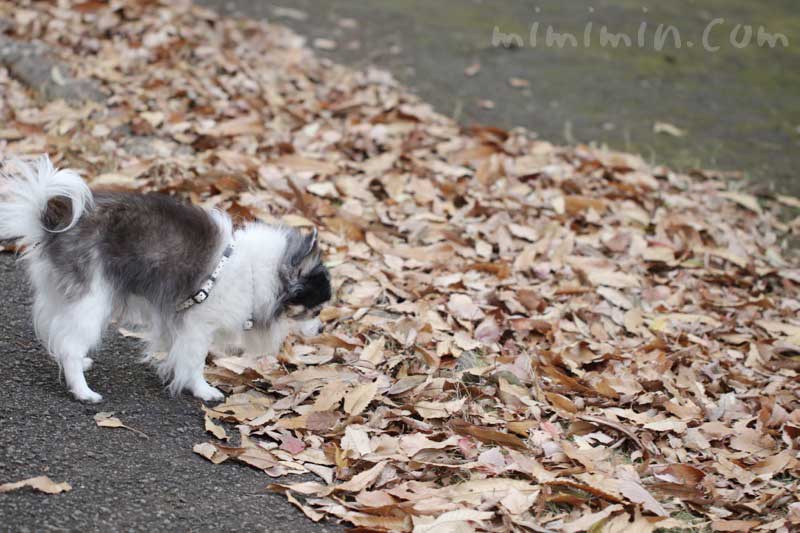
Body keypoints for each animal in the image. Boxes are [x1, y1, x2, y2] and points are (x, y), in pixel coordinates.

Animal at [0, 156, 332, 402]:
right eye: (314, 311)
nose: (322, 329)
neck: (253, 273)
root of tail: (53, 225)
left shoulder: (179, 319)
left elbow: (178, 352)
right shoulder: (199, 325)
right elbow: (195, 361)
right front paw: (202, 390)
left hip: (64, 294)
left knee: (60, 334)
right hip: (91, 302)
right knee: (69, 345)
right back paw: (83, 391)